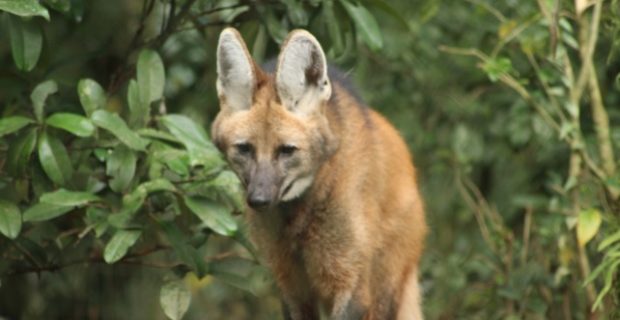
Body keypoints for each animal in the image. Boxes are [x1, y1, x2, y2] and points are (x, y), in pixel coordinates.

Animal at [212, 27, 426, 320]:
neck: (299, 214)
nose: (259, 200)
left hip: (386, 280)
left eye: (287, 150)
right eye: (244, 149)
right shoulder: (289, 284)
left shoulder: (351, 281)